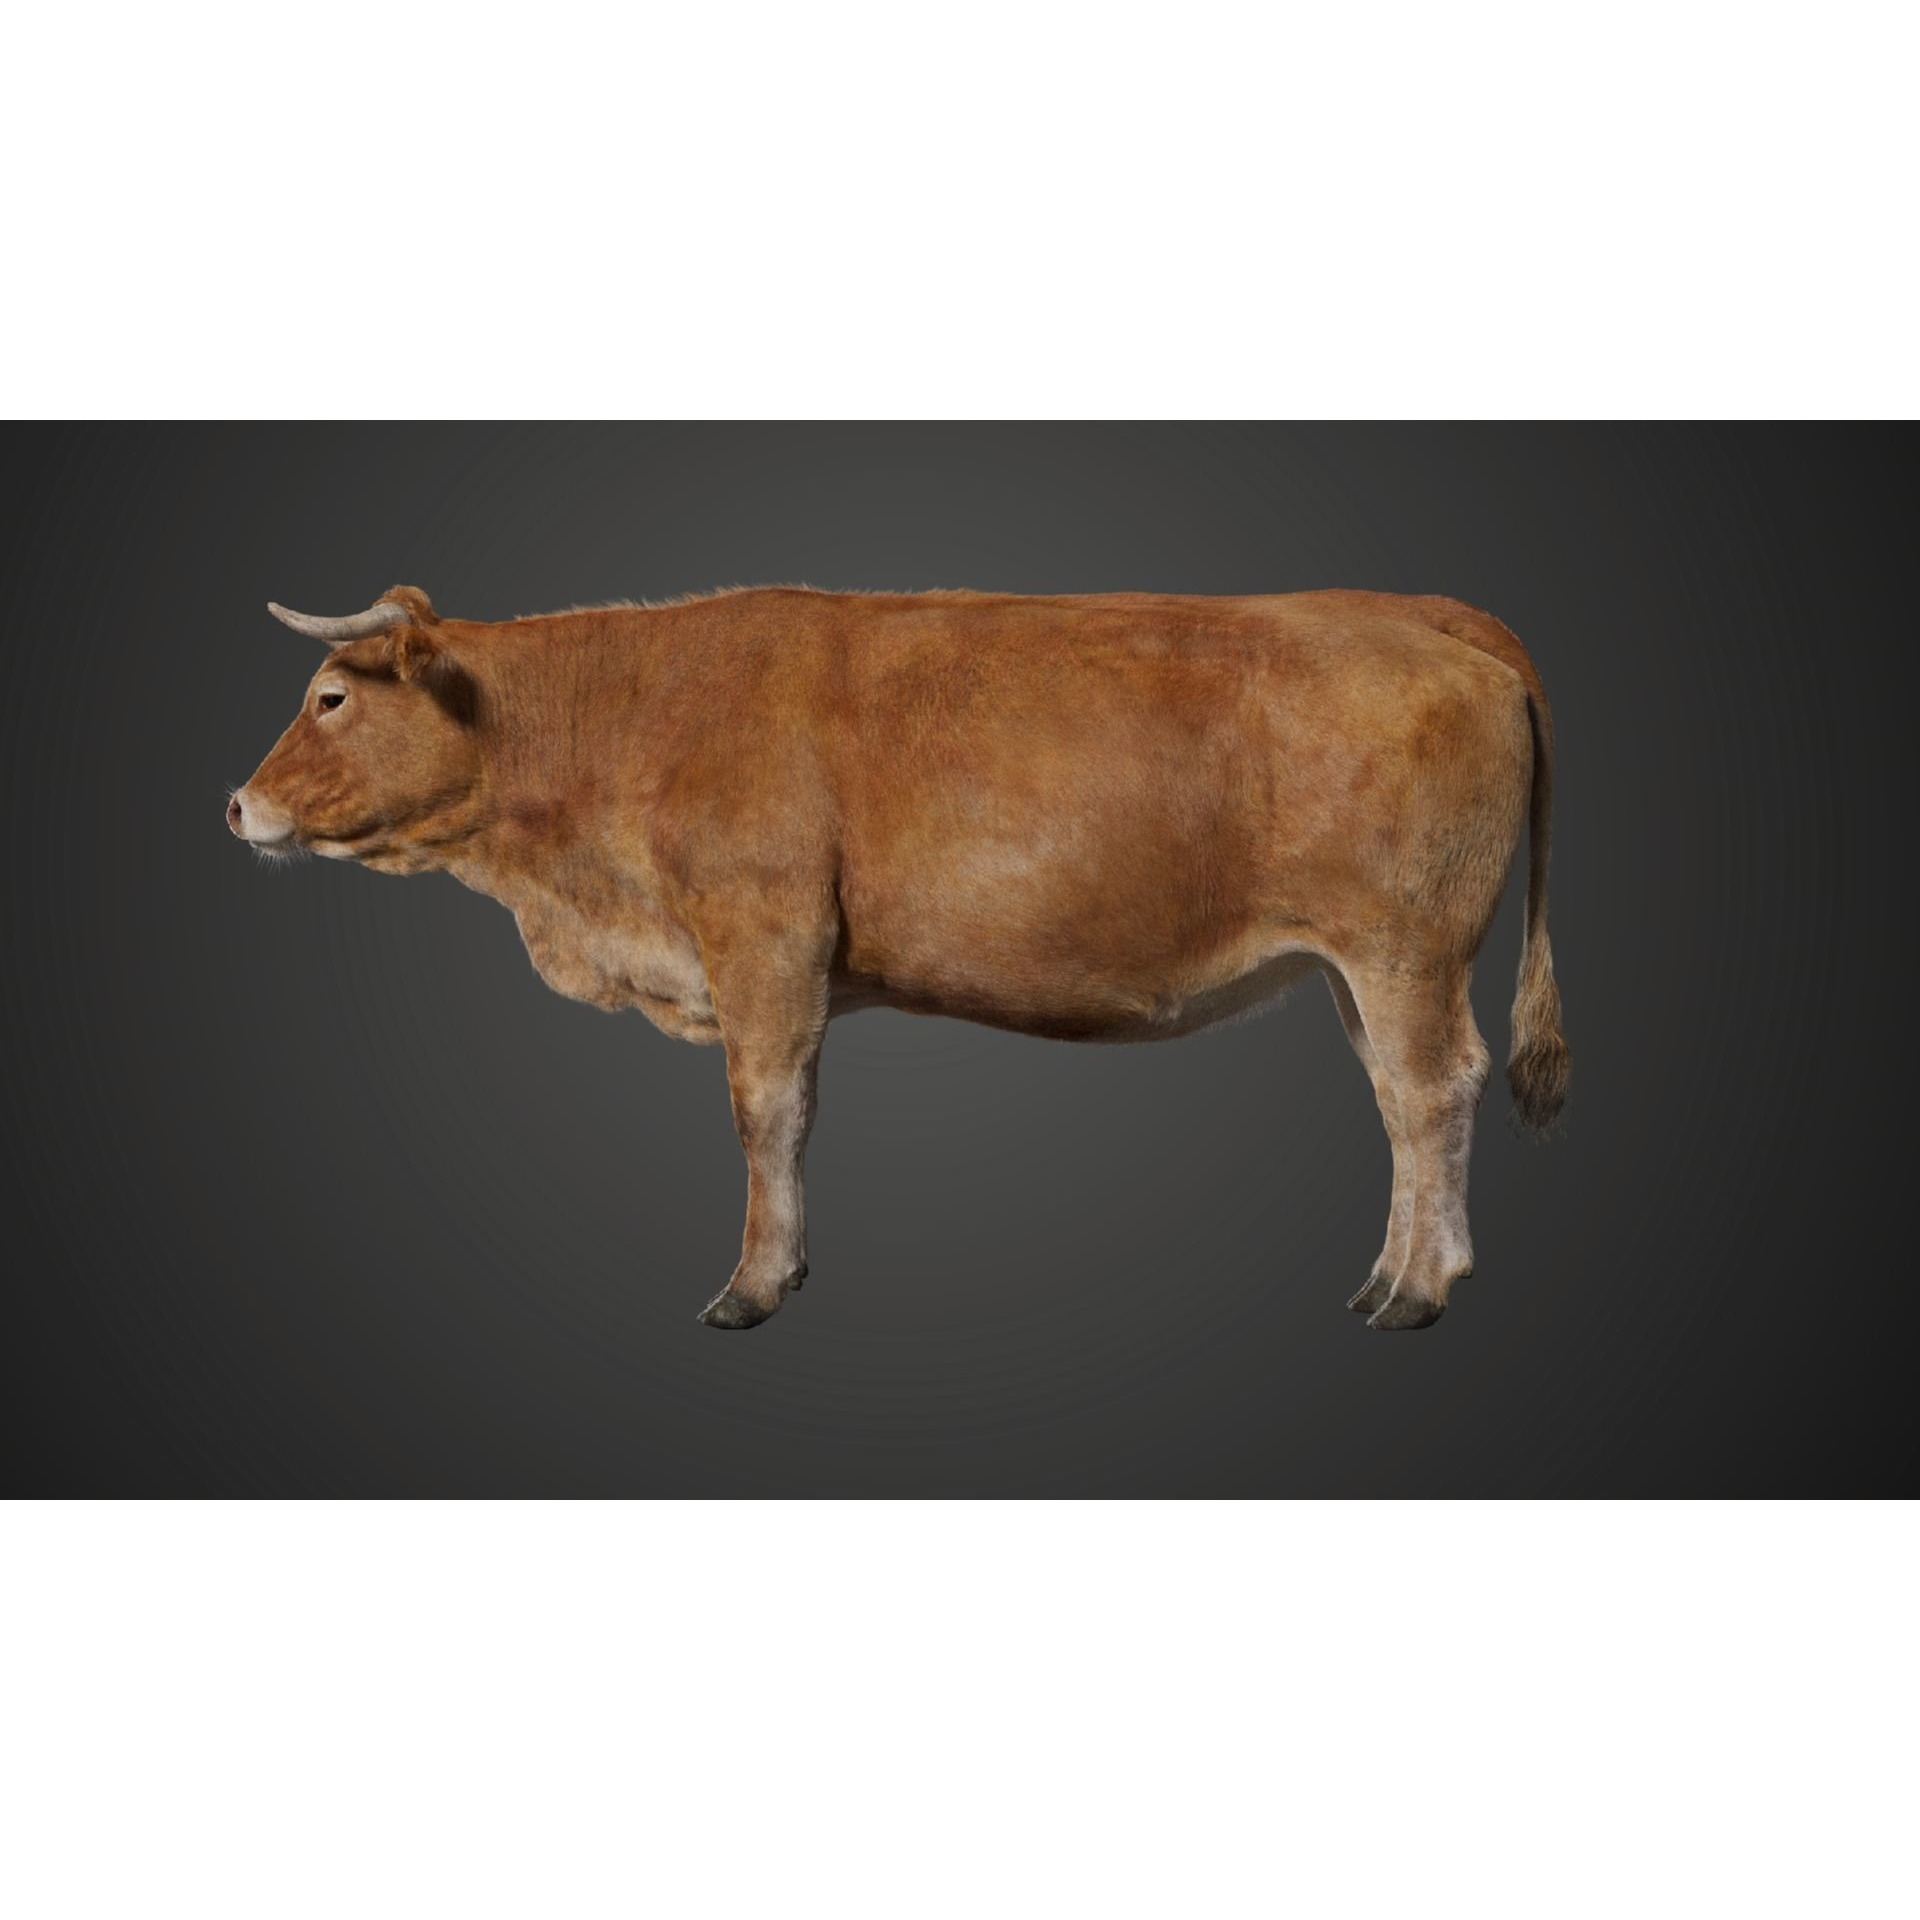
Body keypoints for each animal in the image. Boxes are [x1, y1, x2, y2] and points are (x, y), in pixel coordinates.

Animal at [229, 583, 1568, 1332]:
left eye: (331, 696)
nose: (237, 807)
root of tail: (1417, 611)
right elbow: (795, 1112)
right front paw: (789, 1267)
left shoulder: (761, 934)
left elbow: (764, 1110)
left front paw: (751, 1286)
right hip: (1358, 969)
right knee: (1400, 1102)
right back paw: (1395, 1273)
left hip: (1404, 949)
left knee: (1432, 1091)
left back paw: (1417, 1290)